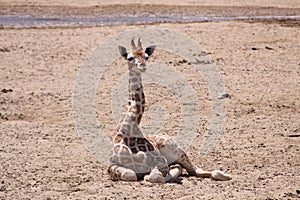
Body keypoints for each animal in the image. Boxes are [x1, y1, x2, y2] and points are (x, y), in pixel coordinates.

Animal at [108, 38, 232, 184]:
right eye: (130, 58)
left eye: (146, 56)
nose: (142, 66)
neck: (127, 128)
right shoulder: (111, 165)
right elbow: (130, 174)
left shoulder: (161, 162)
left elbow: (154, 177)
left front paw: (157, 176)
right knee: (184, 168)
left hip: (176, 150)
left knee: (194, 170)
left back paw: (225, 175)